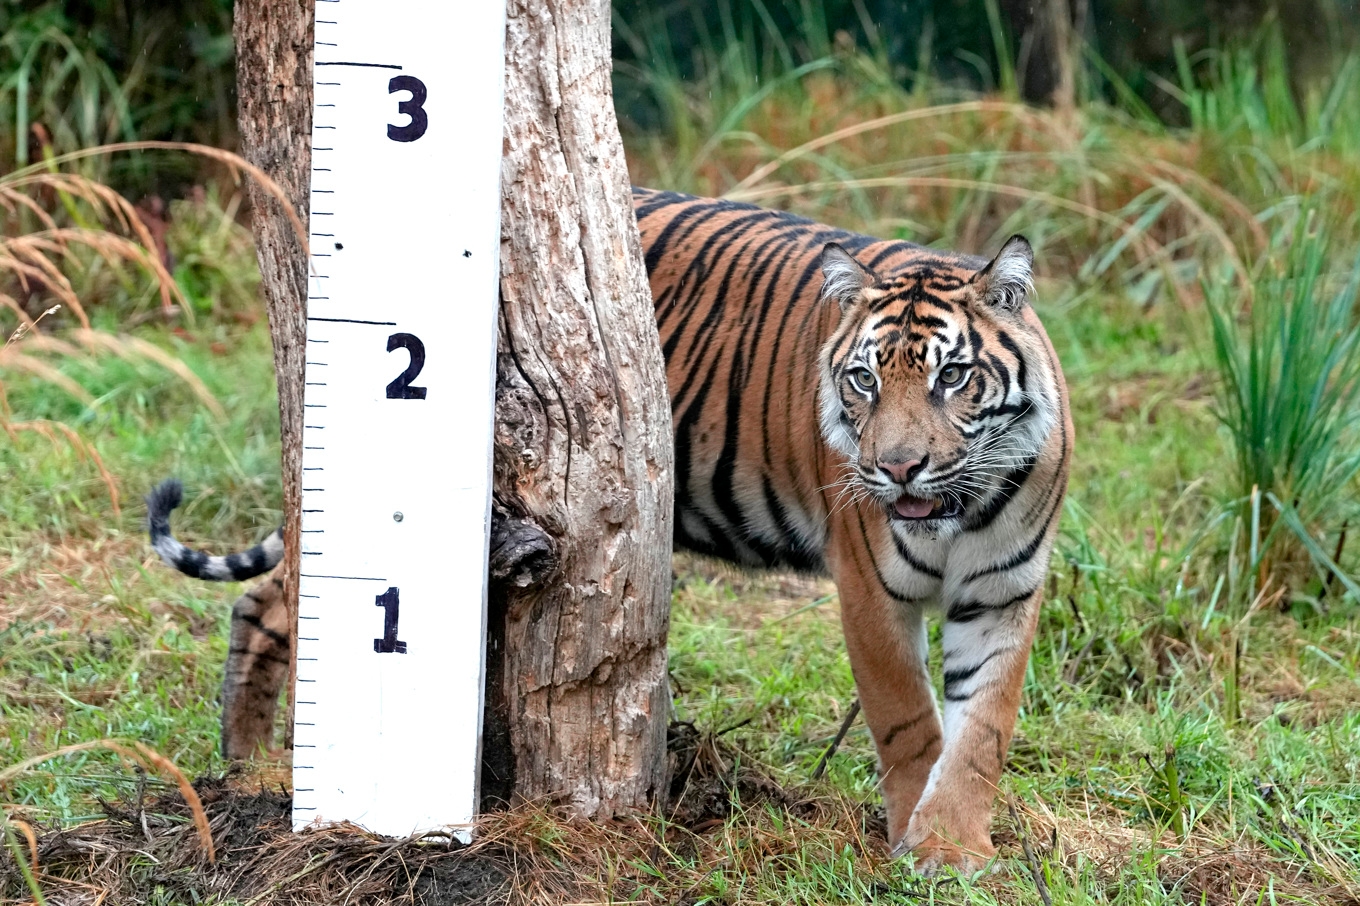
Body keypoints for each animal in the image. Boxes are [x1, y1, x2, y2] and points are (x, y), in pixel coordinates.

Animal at [148, 186, 1072, 873]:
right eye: (863, 382)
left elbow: (983, 726)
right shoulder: (871, 589)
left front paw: (957, 847)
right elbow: (909, 720)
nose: (898, 468)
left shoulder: (1006, 590)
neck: (962, 508)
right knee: (280, 596)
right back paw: (251, 765)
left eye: (953, 377)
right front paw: (921, 844)